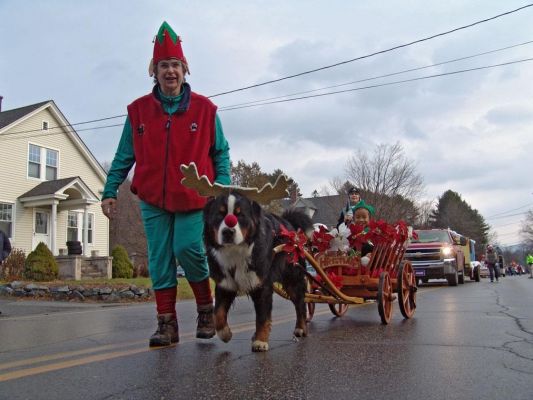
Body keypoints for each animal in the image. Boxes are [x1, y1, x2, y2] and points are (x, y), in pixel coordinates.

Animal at [203, 192, 312, 352]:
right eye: (219, 215)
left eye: (240, 215)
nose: (228, 231)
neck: (235, 252)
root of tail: (288, 224)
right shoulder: (225, 283)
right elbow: (218, 313)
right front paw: (225, 333)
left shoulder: (262, 285)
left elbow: (262, 317)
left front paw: (260, 341)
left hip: (293, 279)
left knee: (300, 304)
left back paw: (301, 328)